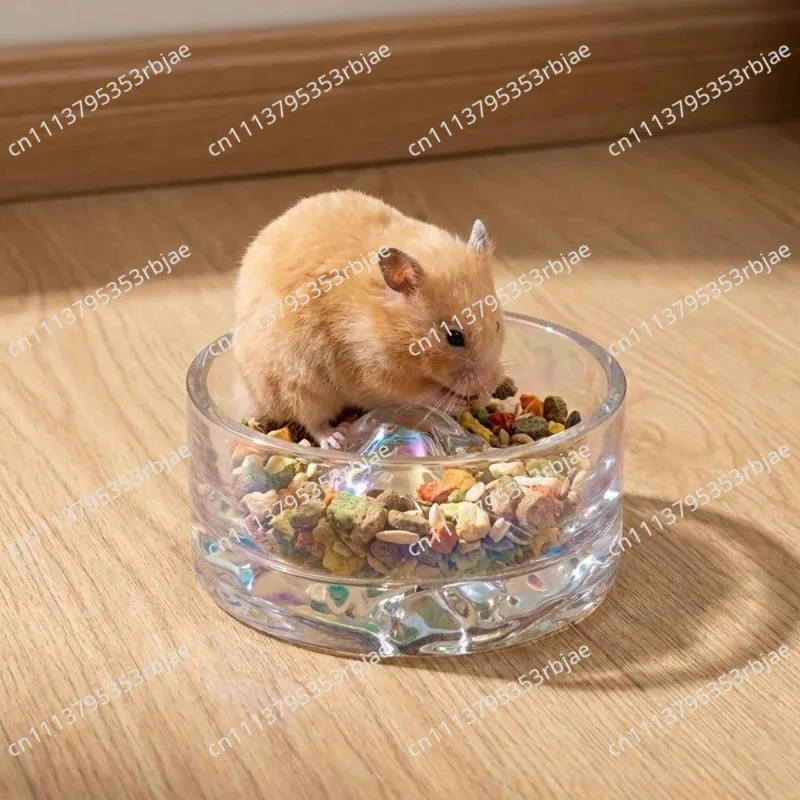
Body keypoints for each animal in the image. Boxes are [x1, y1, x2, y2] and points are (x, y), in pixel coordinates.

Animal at [233, 190, 506, 448]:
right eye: (454, 337)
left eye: (497, 325)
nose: (488, 387)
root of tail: (250, 395)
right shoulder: (374, 375)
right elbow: (425, 395)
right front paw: (463, 400)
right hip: (296, 382)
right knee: (311, 419)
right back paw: (336, 436)